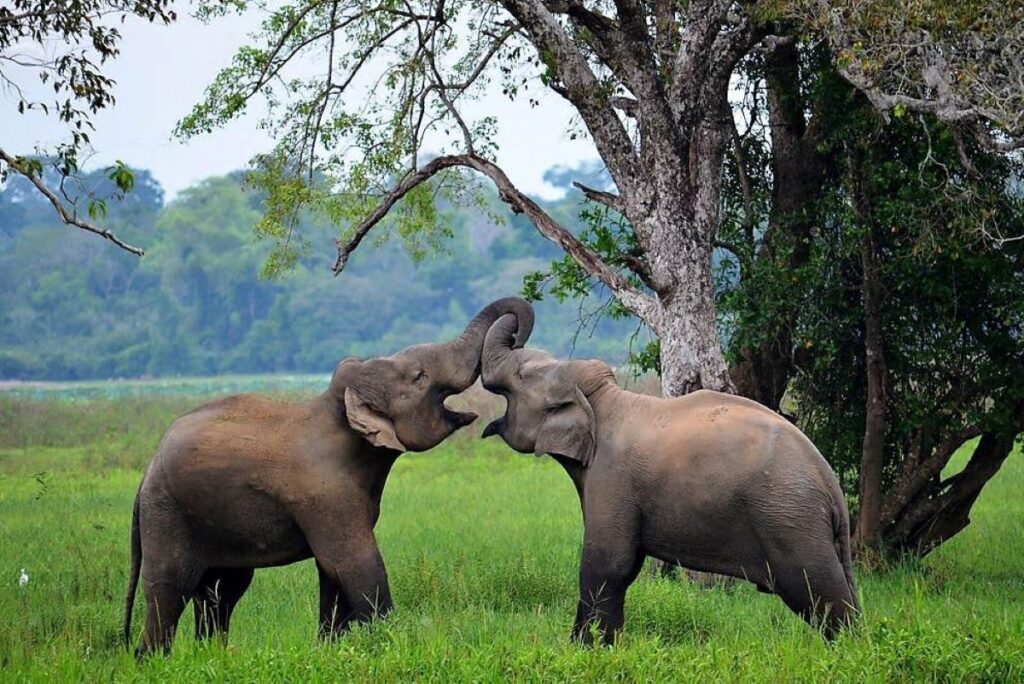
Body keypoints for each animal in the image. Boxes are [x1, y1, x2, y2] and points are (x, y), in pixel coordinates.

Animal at [122, 296, 532, 655]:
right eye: (419, 377)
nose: (515, 337)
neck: (340, 412)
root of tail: (145, 474)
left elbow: (332, 573)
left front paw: (329, 651)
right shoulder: (324, 494)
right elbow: (355, 563)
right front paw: (390, 644)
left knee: (222, 589)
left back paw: (212, 655)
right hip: (168, 511)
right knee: (170, 587)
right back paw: (152, 658)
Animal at [477, 313, 856, 643]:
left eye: (521, 374)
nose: (517, 329)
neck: (602, 400)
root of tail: (830, 484)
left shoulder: (612, 478)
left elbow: (609, 564)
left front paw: (590, 651)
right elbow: (625, 567)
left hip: (790, 520)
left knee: (817, 591)